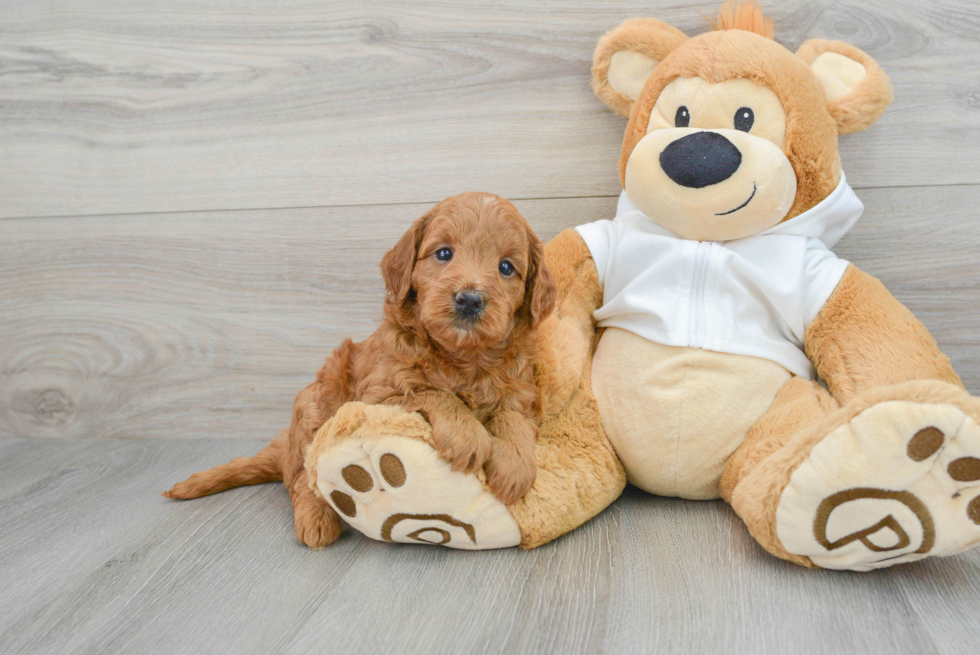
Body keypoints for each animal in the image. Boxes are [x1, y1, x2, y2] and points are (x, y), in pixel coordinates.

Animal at [165, 193, 556, 548]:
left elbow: (514, 417)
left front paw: (515, 466)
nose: (470, 299)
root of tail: (285, 446)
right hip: (314, 408)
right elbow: (433, 392)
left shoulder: (523, 390)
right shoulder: (379, 394)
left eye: (506, 267)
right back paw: (317, 520)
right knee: (302, 479)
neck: (461, 357)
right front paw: (467, 435)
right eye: (444, 253)